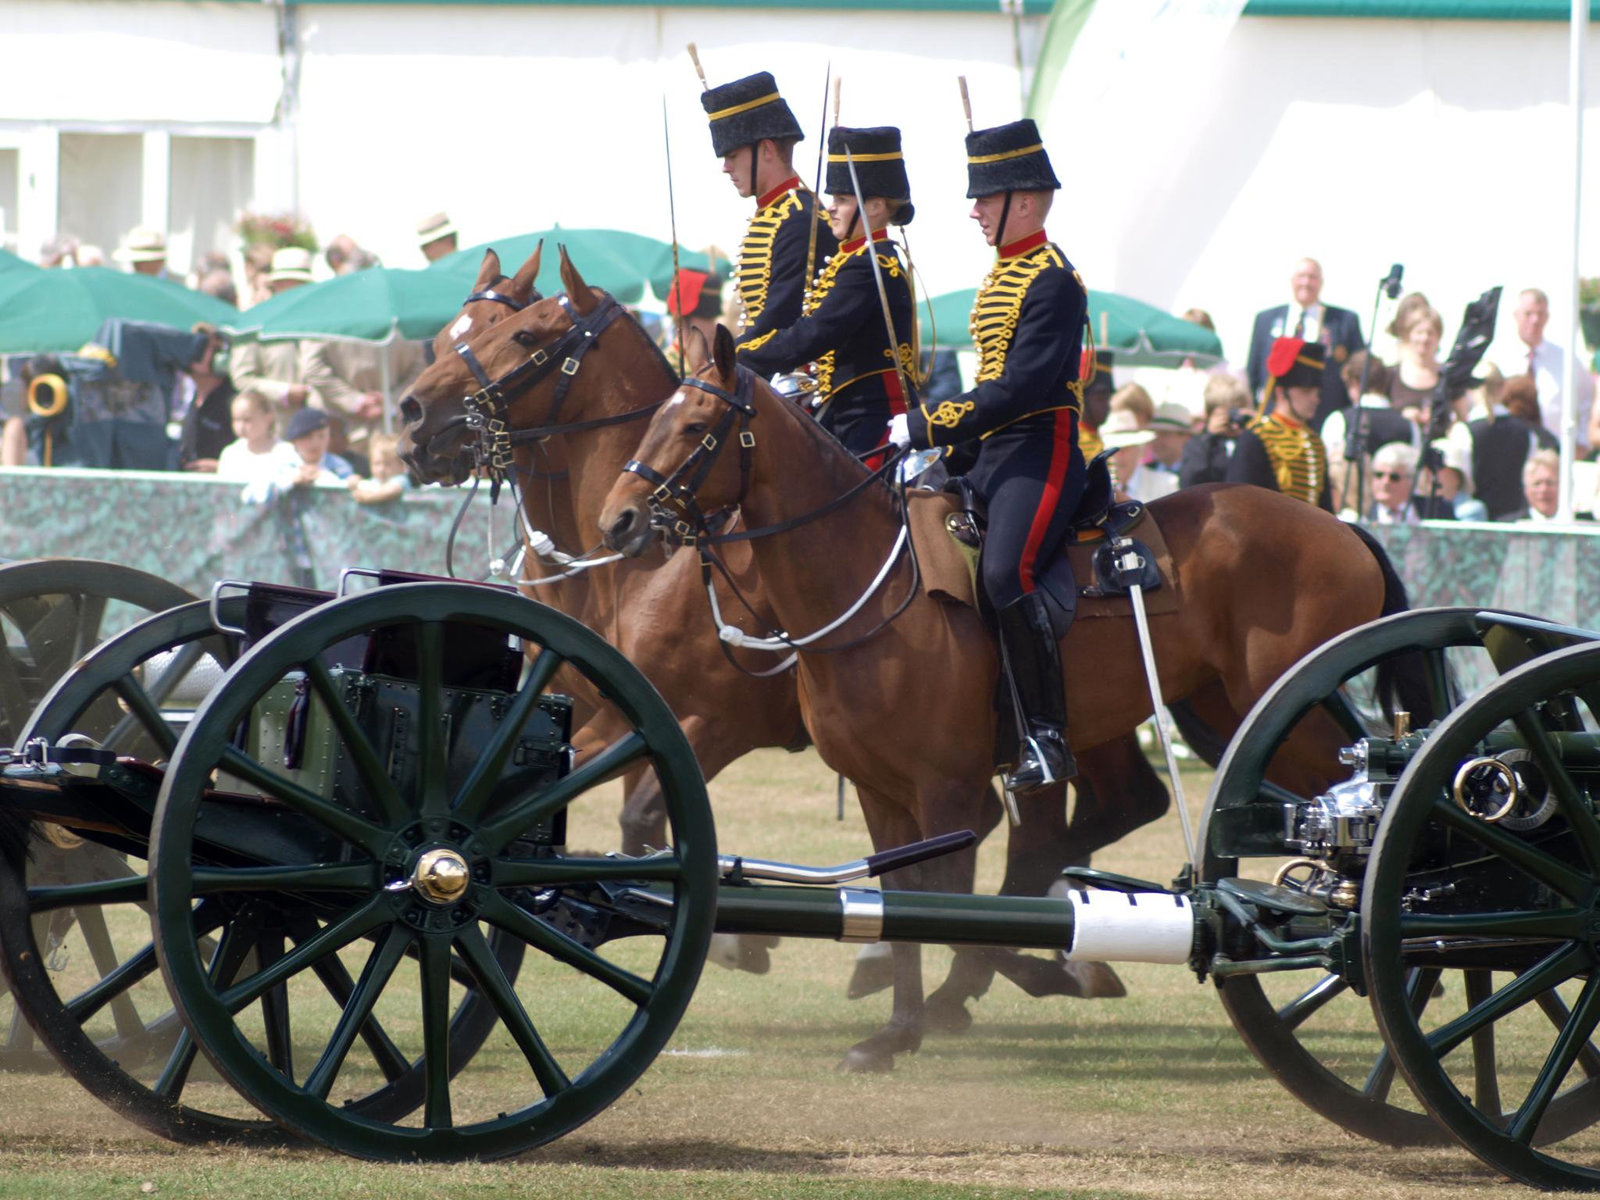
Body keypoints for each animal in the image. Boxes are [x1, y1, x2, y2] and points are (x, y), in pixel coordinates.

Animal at [398, 251, 1171, 1017]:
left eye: (524, 335)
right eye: (450, 334)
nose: (411, 419)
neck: (634, 570)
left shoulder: (710, 719)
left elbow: (647, 816)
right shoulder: (606, 714)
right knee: (1113, 807)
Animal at [595, 324, 1408, 1075]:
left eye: (696, 426)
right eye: (655, 418)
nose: (618, 521)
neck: (869, 584)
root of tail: (1340, 526)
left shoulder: (943, 786)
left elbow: (942, 898)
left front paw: (926, 1015)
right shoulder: (878, 789)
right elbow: (900, 899)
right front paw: (897, 1029)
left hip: (1284, 719)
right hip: (1211, 714)